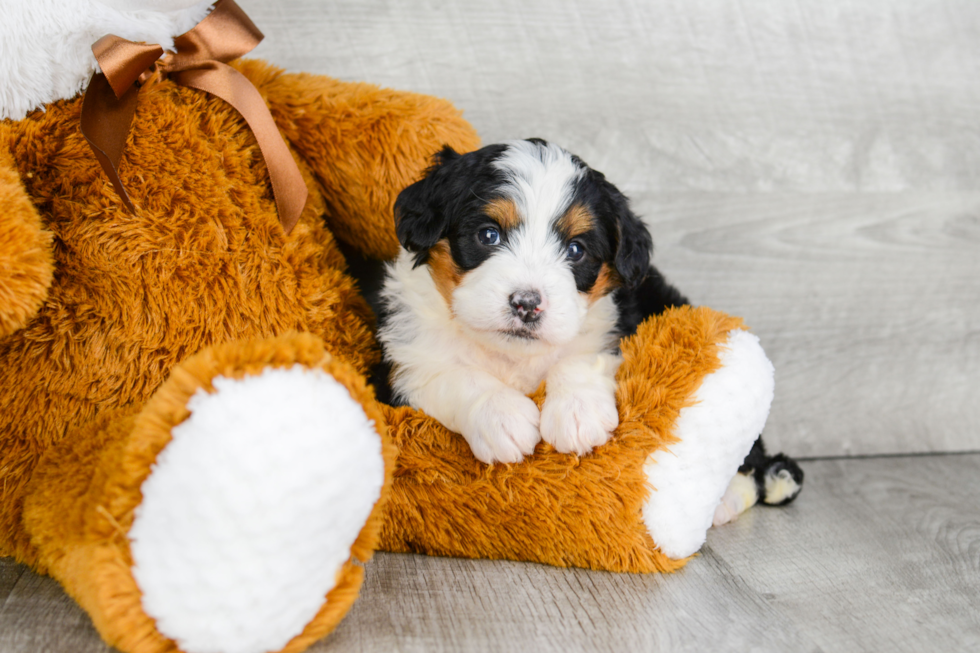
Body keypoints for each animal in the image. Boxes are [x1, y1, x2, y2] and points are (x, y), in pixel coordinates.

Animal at [378, 139, 688, 464]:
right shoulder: (406, 369)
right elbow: (456, 376)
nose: (526, 304)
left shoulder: (610, 326)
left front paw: (578, 410)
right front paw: (501, 415)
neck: (512, 356)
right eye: (488, 235)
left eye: (576, 250)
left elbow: (581, 355)